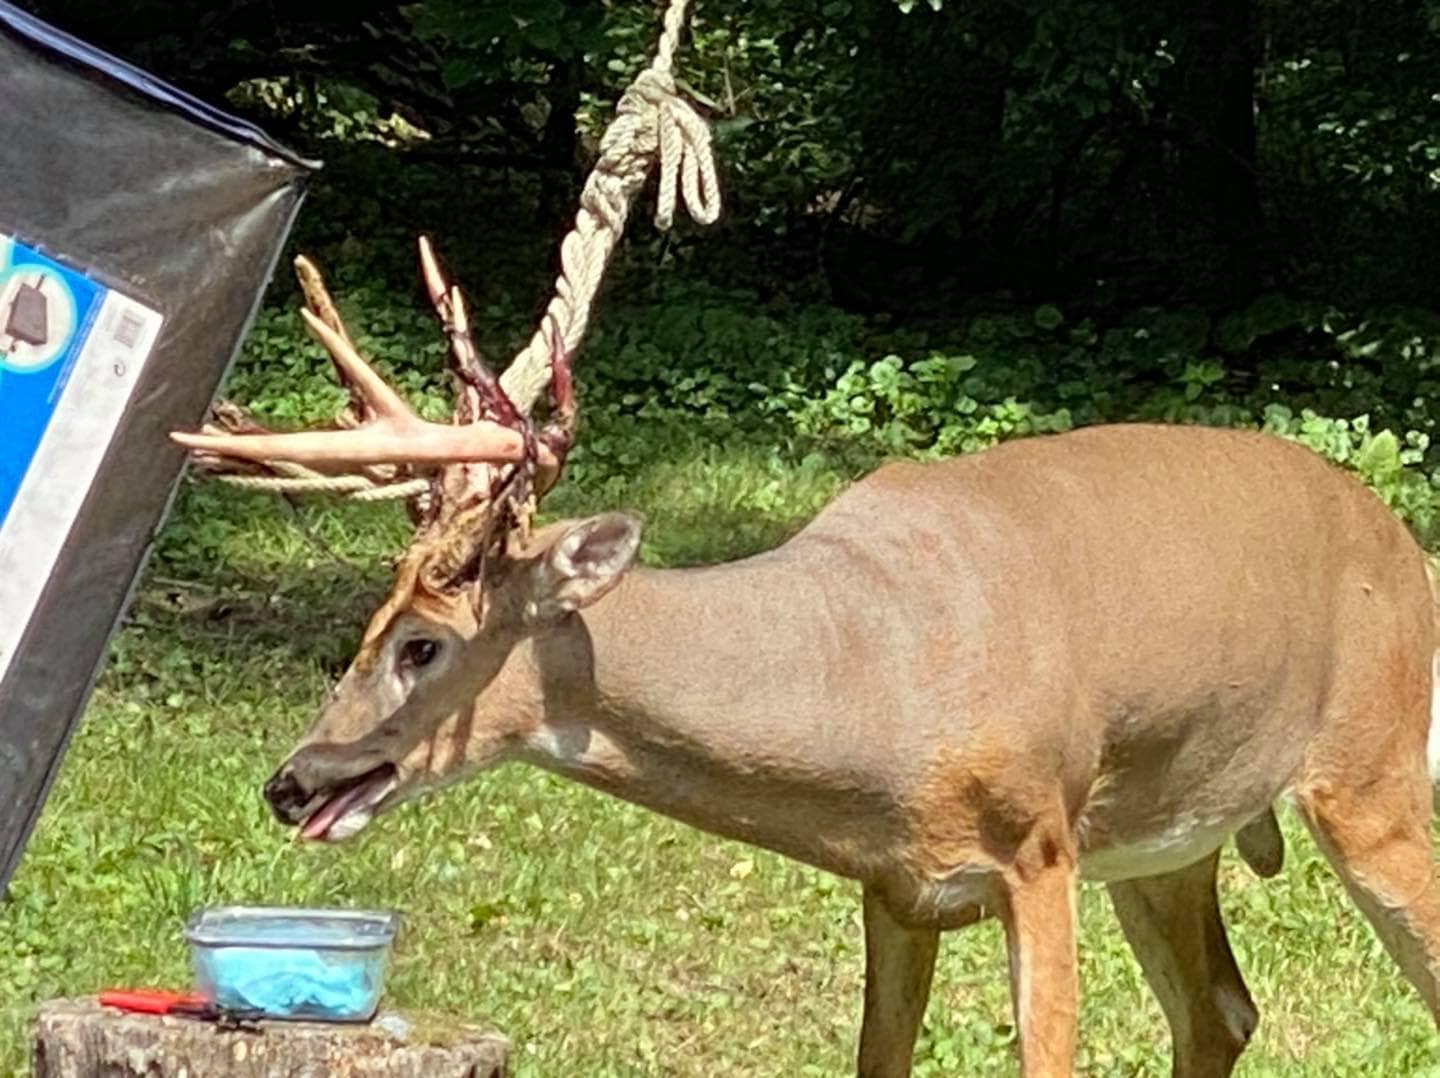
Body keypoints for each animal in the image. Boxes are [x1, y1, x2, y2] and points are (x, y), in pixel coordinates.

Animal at [174, 243, 1440, 1076]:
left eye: (424, 643)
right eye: (373, 621)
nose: (292, 779)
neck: (868, 682)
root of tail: (1404, 544)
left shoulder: (1039, 840)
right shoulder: (898, 886)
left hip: (1368, 770)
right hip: (1169, 834)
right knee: (1221, 1011)